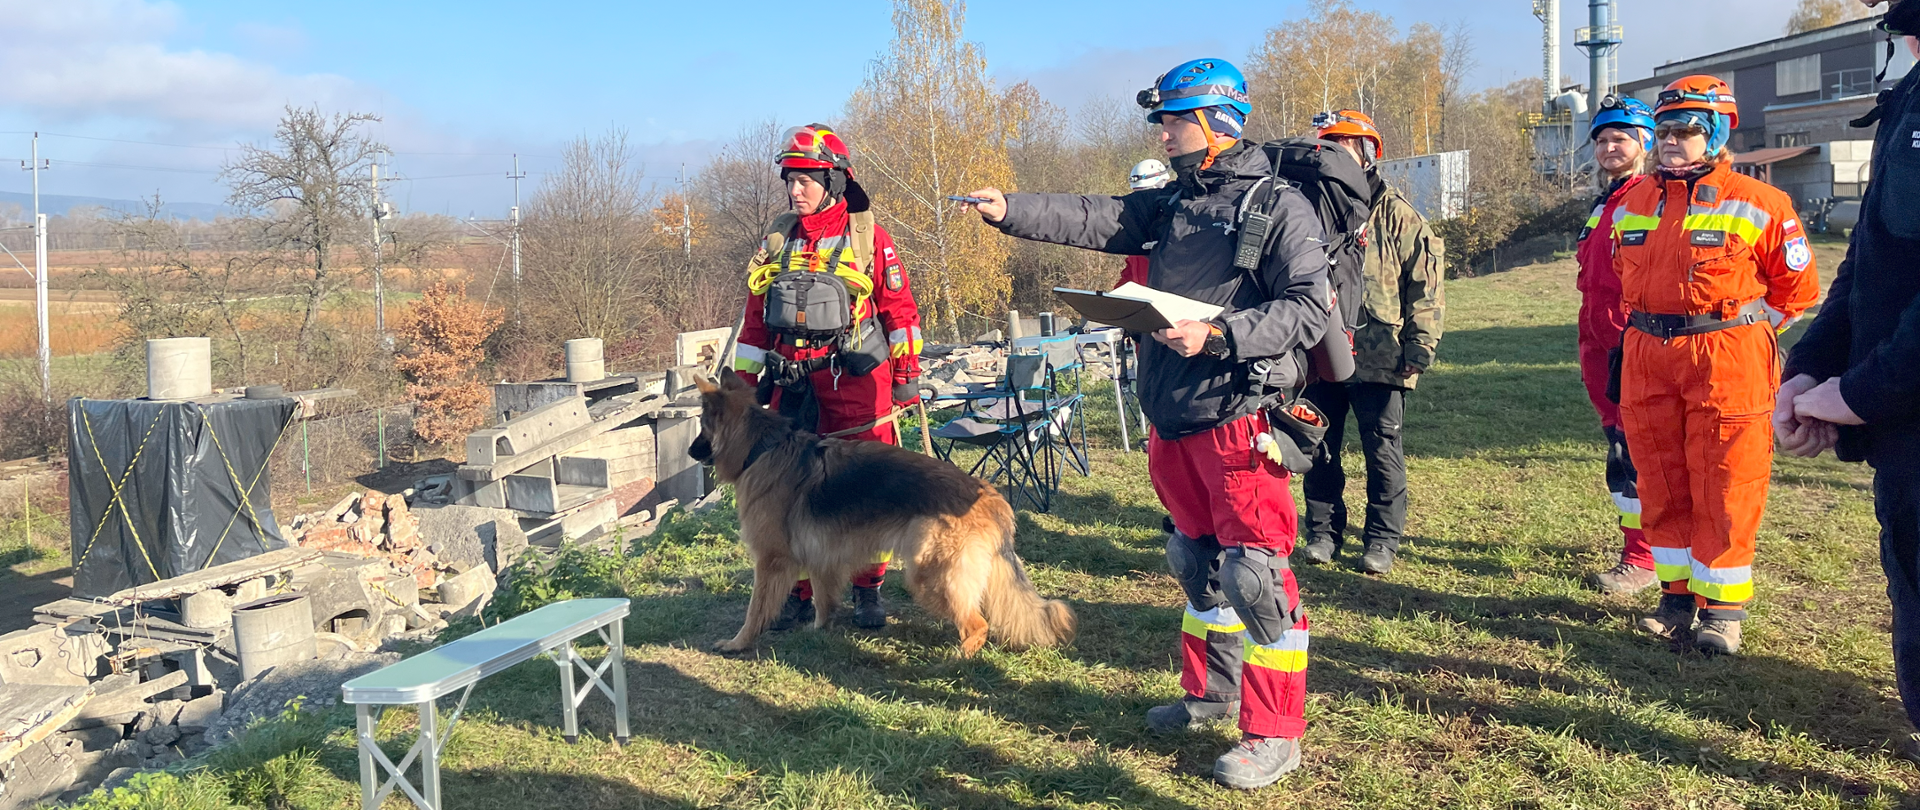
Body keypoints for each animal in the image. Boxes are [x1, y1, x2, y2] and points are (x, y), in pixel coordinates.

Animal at [691, 374, 1082, 656]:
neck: (762, 447)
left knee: (978, 624)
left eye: (702, 427)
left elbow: (755, 609)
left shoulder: (771, 561)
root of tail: (989, 497)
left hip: (930, 574)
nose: (693, 453)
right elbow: (822, 598)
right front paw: (818, 629)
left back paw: (957, 660)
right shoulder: (821, 556)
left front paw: (738, 644)